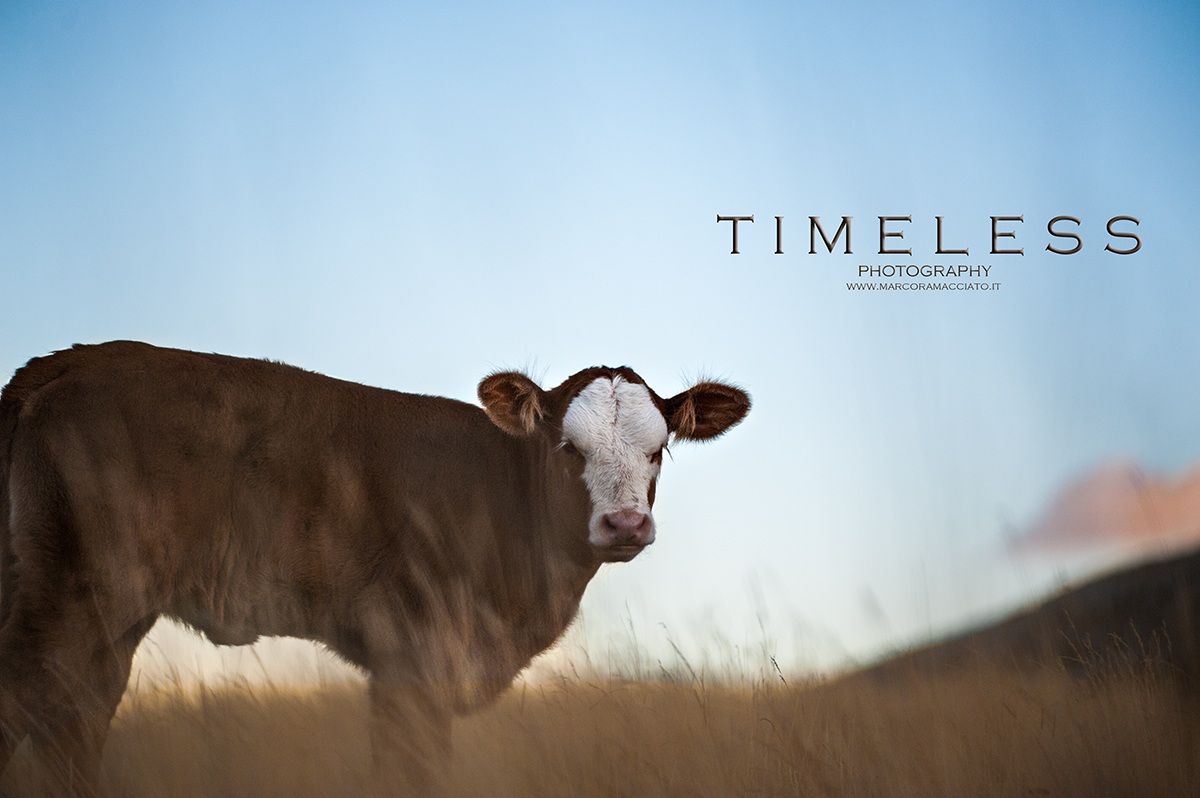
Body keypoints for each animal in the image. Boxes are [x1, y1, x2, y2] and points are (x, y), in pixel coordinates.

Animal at [0, 341, 750, 794]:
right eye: (567, 446)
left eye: (658, 450)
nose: (624, 524)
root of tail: (61, 365)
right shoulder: (412, 653)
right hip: (70, 600)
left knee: (76, 724)